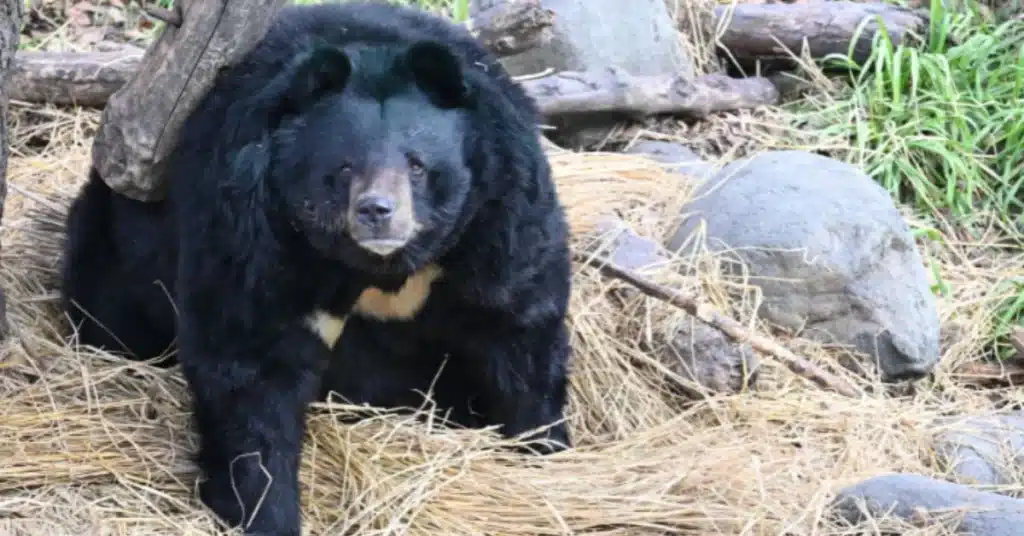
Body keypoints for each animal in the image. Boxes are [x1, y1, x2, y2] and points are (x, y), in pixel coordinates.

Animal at [58, 2, 574, 534]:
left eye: (416, 165)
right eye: (344, 168)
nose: (377, 211)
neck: (381, 266)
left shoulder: (500, 214)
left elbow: (517, 327)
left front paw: (544, 446)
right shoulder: (255, 234)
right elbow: (250, 366)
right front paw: (266, 510)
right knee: (111, 311)